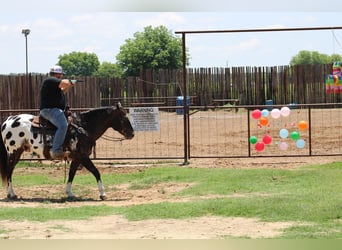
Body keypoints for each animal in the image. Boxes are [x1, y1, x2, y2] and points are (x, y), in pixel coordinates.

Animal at [0, 104, 134, 200]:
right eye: (123, 117)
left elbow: (71, 174)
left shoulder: (76, 158)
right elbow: (96, 171)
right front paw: (102, 193)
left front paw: (69, 193)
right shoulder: (83, 157)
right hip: (14, 152)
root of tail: (8, 120)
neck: (83, 127)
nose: (132, 133)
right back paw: (12, 194)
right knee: (9, 171)